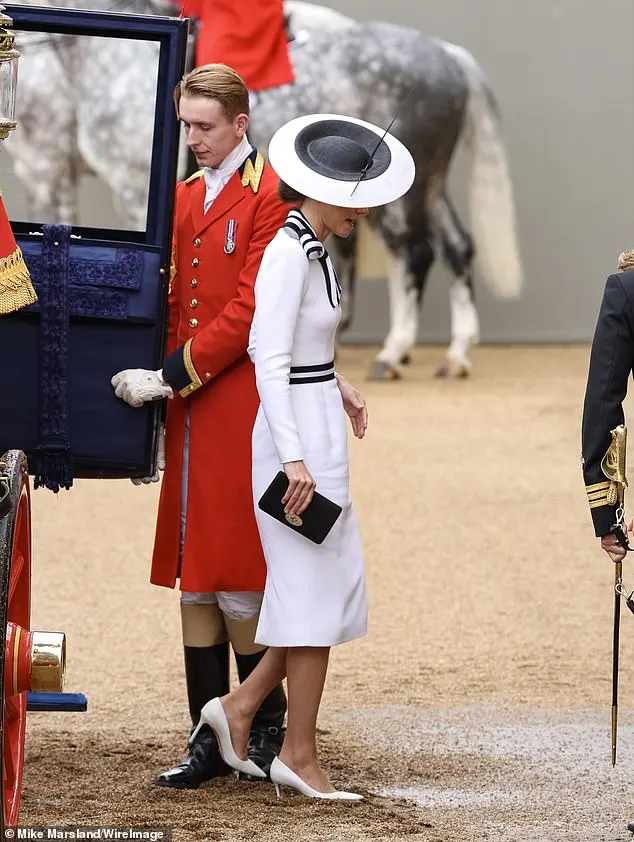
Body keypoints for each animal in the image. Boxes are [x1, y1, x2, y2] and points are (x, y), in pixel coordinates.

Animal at [4, 0, 520, 378]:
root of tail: (447, 55)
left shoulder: (106, 180)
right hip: (427, 182)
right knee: (456, 247)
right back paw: (455, 352)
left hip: (397, 193)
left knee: (412, 253)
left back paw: (393, 352)